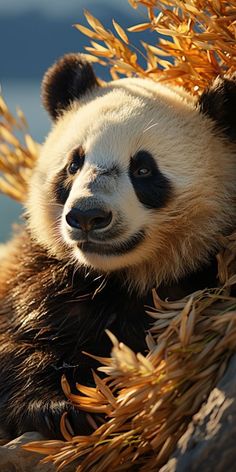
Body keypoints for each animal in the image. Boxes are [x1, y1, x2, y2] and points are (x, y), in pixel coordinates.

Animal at [0, 53, 235, 440]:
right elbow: (18, 340)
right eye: (74, 164)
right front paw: (58, 407)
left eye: (143, 169)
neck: (120, 276)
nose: (87, 216)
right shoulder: (39, 274)